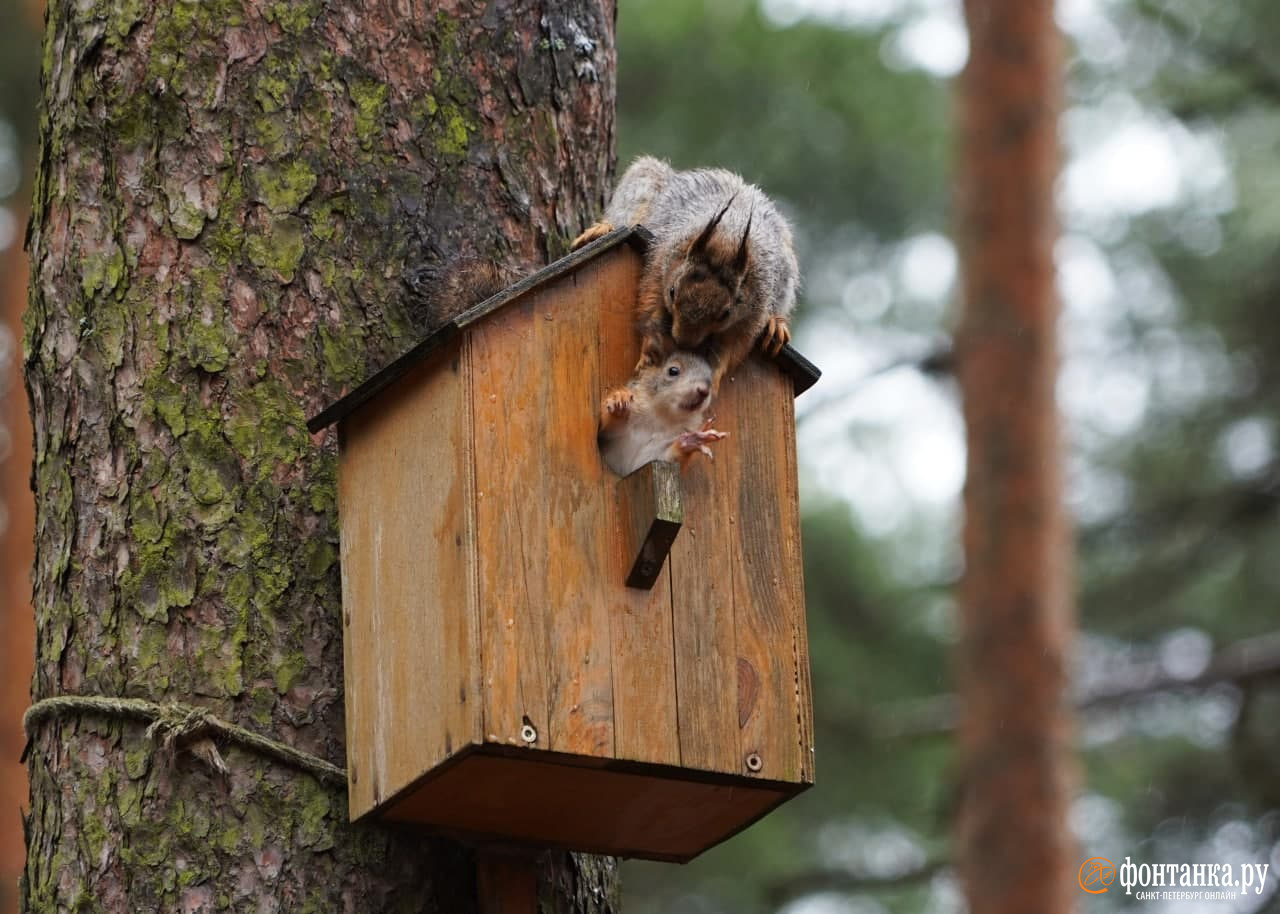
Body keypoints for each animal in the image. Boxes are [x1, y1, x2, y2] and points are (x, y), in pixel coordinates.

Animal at [573, 155, 798, 389]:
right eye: (672, 292)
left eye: (726, 313)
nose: (683, 341)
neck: (727, 239)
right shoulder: (663, 259)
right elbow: (651, 303)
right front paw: (650, 350)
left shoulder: (754, 306)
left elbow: (735, 344)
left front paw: (715, 375)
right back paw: (600, 230)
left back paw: (776, 323)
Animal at [593, 348, 727, 476]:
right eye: (673, 371)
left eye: (711, 380)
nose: (704, 390)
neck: (662, 416)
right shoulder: (611, 440)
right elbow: (605, 431)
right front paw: (619, 400)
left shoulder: (656, 454)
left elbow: (666, 458)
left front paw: (691, 441)